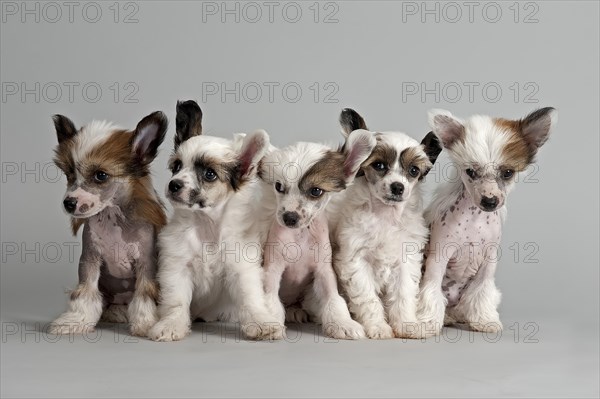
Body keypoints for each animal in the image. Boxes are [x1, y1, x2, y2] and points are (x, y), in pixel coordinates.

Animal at [49, 111, 169, 336]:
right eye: (69, 174)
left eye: (101, 175)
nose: (69, 203)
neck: (112, 218)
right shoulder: (90, 260)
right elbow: (85, 292)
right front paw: (76, 321)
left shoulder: (146, 263)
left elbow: (145, 293)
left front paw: (145, 322)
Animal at [148, 101, 284, 342]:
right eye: (176, 167)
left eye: (209, 174)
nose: (173, 185)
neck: (206, 226)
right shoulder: (176, 268)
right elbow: (176, 301)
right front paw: (171, 324)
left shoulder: (241, 268)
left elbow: (250, 297)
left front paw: (261, 322)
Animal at [258, 129, 376, 340]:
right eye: (279, 187)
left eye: (315, 191)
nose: (289, 217)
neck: (300, 236)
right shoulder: (272, 269)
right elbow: (269, 299)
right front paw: (270, 323)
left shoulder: (323, 271)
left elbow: (333, 298)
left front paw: (343, 323)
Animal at [328, 108, 440, 340]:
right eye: (379, 165)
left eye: (413, 170)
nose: (398, 187)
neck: (385, 217)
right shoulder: (356, 262)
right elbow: (368, 299)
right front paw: (378, 327)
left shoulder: (406, 261)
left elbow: (403, 295)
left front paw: (406, 325)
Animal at [418, 107, 556, 338]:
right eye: (470, 172)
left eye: (508, 173)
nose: (490, 201)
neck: (475, 221)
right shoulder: (439, 257)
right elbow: (431, 288)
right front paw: (427, 323)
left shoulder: (489, 261)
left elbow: (481, 291)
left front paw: (484, 320)